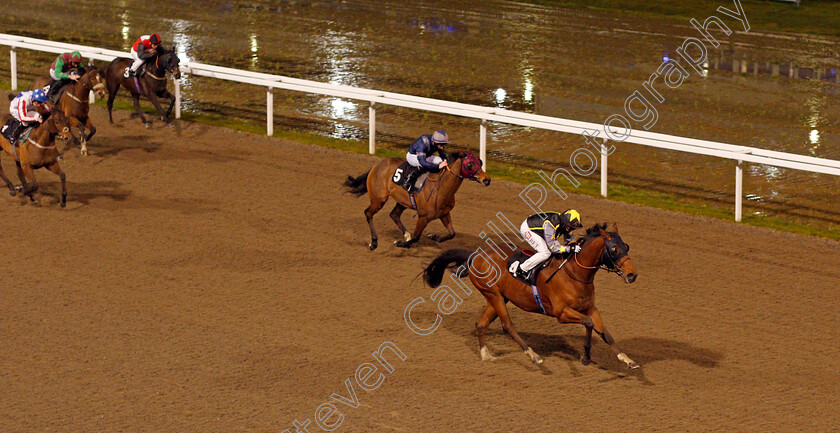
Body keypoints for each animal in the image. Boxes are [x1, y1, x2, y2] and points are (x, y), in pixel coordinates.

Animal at [342, 149, 488, 248]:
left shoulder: (444, 213)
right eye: (470, 164)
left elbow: (452, 233)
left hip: (402, 201)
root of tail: (376, 165)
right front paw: (399, 243)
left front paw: (435, 237)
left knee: (394, 214)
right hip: (379, 199)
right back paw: (374, 242)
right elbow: (417, 237)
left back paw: (406, 235)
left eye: (480, 162)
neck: (440, 188)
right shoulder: (423, 217)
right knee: (368, 213)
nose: (487, 180)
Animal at [424, 223, 640, 368]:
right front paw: (585, 356)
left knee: (481, 324)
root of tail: (476, 255)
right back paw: (533, 355)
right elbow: (588, 323)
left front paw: (627, 359)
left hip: (497, 296)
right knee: (507, 326)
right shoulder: (562, 313)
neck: (575, 274)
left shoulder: (590, 308)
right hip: (493, 295)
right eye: (614, 249)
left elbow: (604, 332)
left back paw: (486, 355)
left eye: (626, 246)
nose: (632, 274)